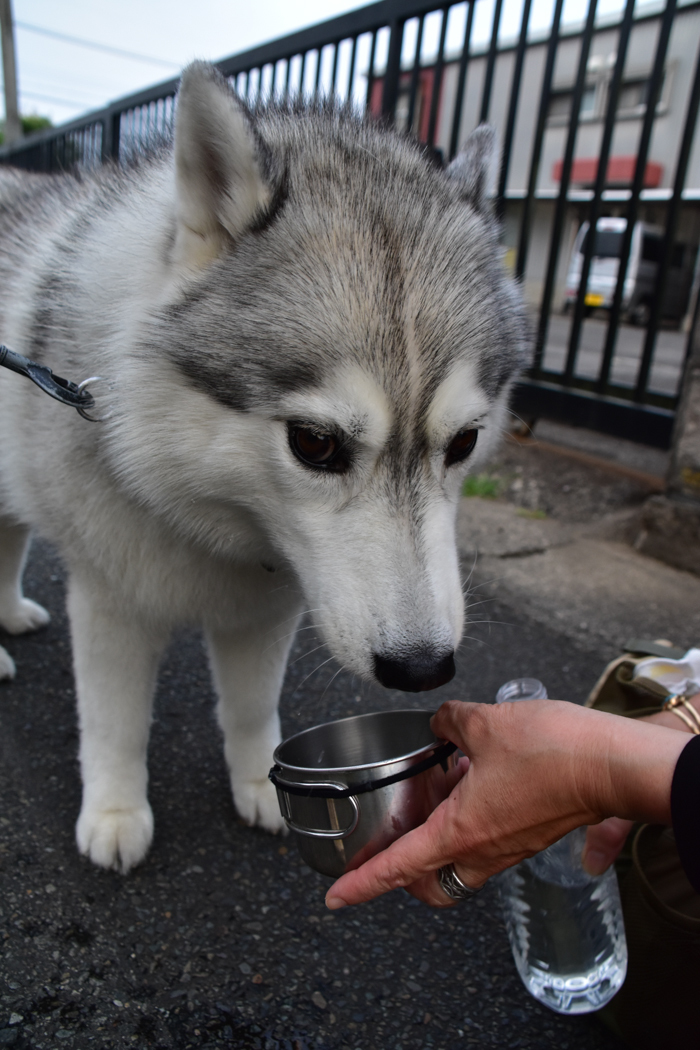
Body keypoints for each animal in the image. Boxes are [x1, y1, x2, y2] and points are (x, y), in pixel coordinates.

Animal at [0, 61, 528, 873]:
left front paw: (260, 784)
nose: (423, 669)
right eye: (314, 443)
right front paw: (116, 812)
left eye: (464, 443)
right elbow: (116, 723)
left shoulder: (267, 611)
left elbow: (252, 709)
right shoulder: (112, 598)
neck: (209, 512)